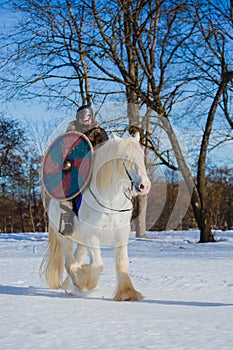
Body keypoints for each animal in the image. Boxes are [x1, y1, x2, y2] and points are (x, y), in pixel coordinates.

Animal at [40, 133, 151, 300]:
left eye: (141, 156)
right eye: (125, 158)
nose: (144, 186)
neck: (111, 201)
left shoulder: (121, 233)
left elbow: (122, 262)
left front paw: (127, 293)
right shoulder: (92, 236)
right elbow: (98, 265)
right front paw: (87, 281)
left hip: (82, 242)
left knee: (75, 259)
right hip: (65, 238)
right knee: (69, 263)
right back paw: (79, 282)